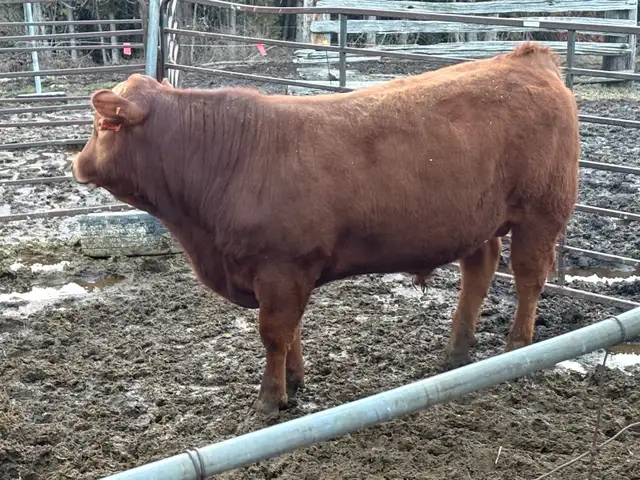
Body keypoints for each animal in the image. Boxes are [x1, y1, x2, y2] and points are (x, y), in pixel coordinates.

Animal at [72, 42, 580, 416]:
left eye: (103, 125)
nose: (77, 162)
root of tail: (527, 57)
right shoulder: (284, 274)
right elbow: (291, 330)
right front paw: (294, 382)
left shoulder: (280, 268)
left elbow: (274, 333)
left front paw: (268, 400)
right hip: (478, 220)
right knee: (480, 270)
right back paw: (456, 351)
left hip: (541, 213)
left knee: (528, 277)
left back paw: (516, 346)